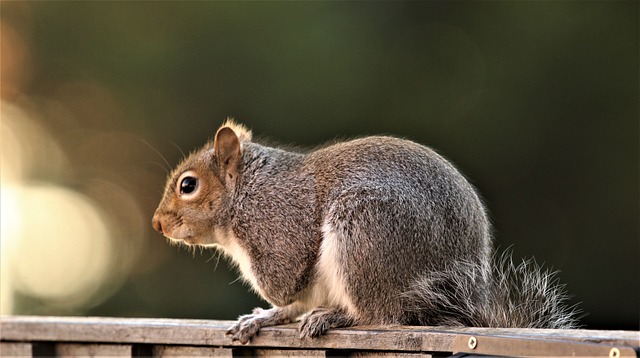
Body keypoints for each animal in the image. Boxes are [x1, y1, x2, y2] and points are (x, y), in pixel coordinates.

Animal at [152, 119, 576, 342]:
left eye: (188, 185)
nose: (157, 223)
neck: (247, 190)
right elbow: (291, 304)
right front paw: (261, 318)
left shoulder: (280, 225)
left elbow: (285, 283)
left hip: (364, 235)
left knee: (381, 315)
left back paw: (338, 317)